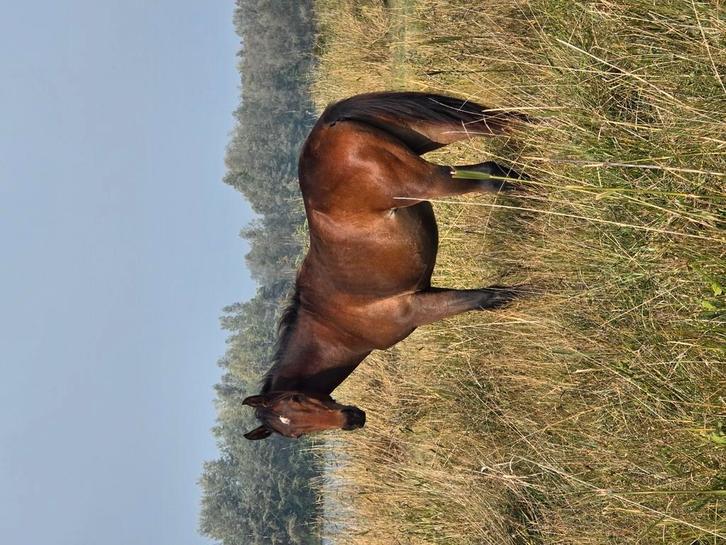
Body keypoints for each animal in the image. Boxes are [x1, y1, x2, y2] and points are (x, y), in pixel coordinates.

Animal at [242, 92, 529, 440]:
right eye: (294, 433)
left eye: (296, 399)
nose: (353, 418)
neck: (334, 324)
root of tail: (328, 128)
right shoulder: (425, 293)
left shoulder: (415, 309)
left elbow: (485, 299)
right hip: (440, 133)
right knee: (504, 124)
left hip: (429, 181)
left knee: (490, 173)